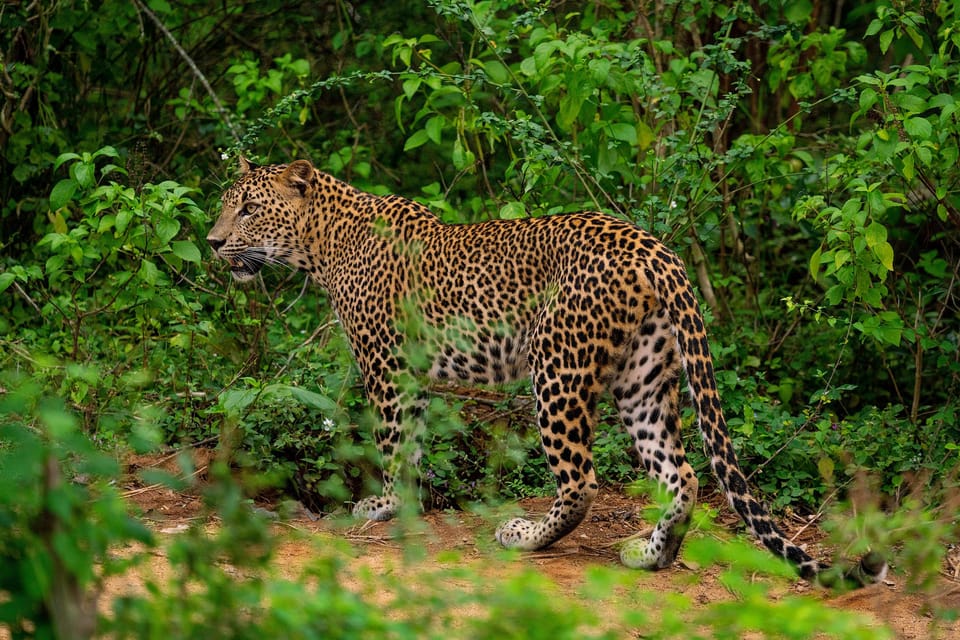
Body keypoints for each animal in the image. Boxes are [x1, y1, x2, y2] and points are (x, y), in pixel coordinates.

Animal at [208, 158, 884, 588]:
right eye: (223, 208)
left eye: (248, 210)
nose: (213, 243)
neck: (321, 243)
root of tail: (658, 251)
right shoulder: (415, 376)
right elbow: (416, 445)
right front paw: (409, 504)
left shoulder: (386, 367)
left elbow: (394, 443)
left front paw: (382, 506)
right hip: (643, 380)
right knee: (683, 473)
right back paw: (651, 555)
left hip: (556, 365)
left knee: (582, 480)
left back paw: (527, 535)